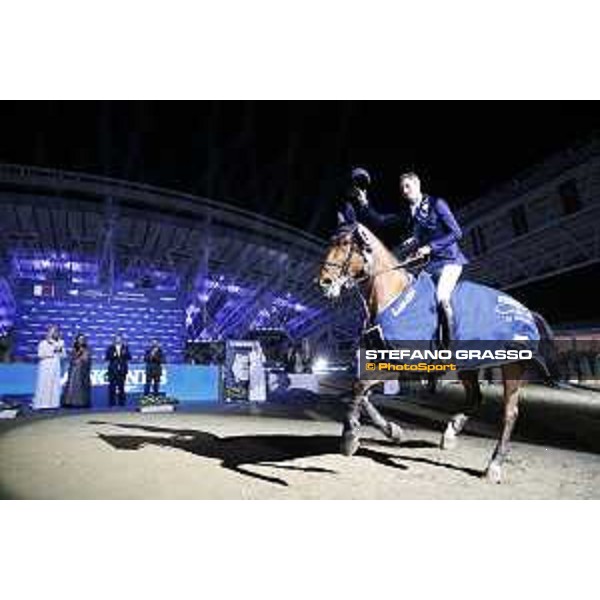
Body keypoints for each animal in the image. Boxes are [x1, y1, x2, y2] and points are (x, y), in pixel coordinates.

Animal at [316, 223, 556, 486]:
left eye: (346, 244)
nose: (324, 282)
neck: (392, 297)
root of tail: (527, 311)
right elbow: (362, 393)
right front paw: (392, 431)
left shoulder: (404, 365)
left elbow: (359, 387)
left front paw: (349, 438)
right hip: (468, 365)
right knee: (476, 397)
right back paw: (451, 432)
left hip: (512, 365)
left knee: (509, 413)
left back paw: (493, 467)